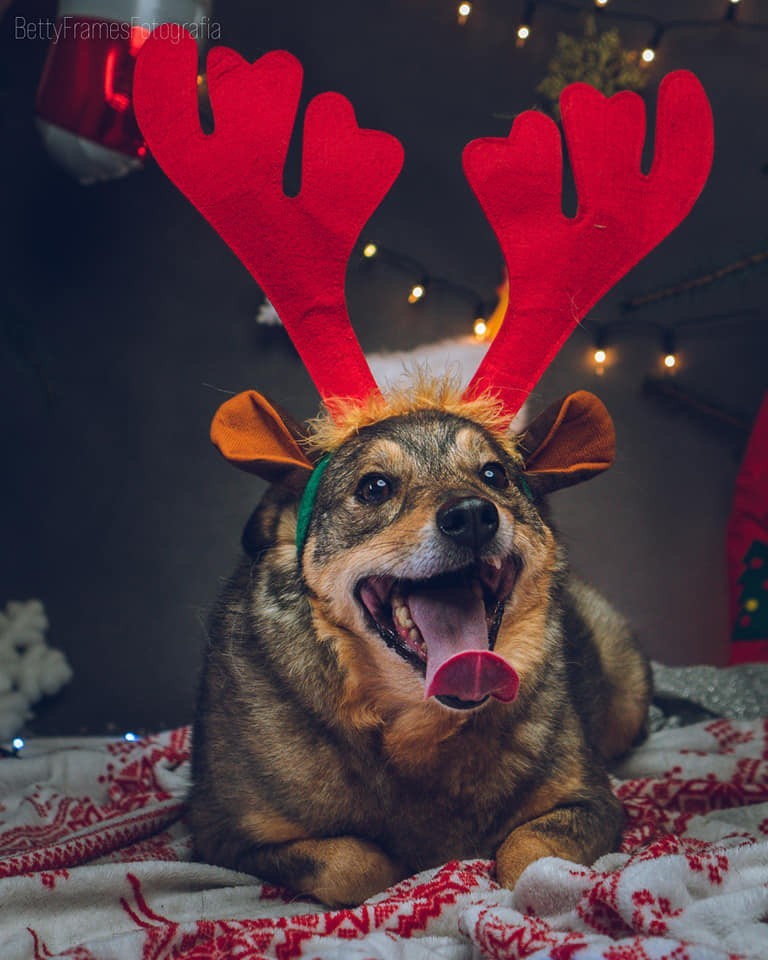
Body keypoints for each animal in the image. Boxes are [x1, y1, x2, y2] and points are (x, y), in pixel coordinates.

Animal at [189, 378, 652, 904]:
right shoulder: (220, 835)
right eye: (374, 487)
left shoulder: (592, 801)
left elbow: (531, 850)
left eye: (494, 474)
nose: (472, 515)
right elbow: (353, 864)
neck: (419, 728)